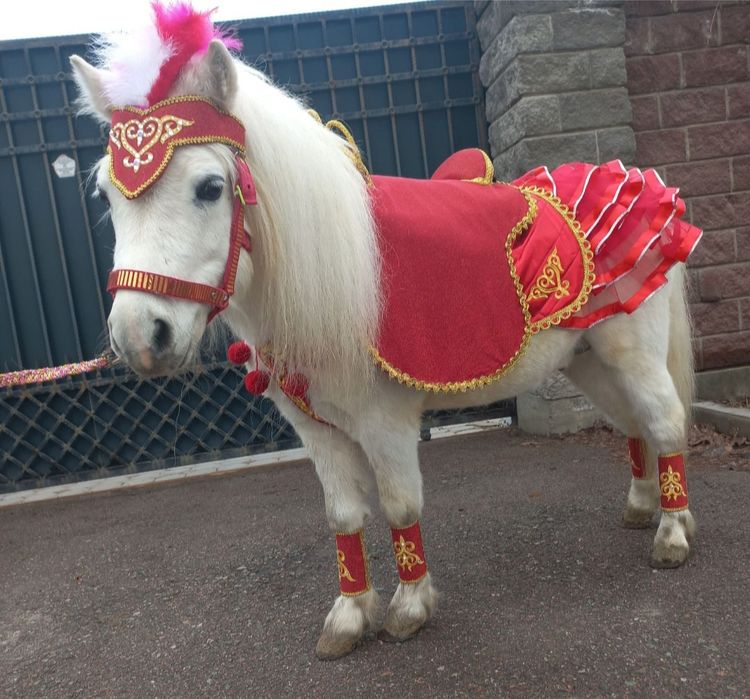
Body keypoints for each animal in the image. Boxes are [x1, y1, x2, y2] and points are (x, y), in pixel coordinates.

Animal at [70, 6, 700, 660]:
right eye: (105, 195)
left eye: (210, 188)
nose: (141, 337)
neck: (331, 280)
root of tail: (637, 182)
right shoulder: (315, 431)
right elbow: (343, 516)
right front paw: (348, 618)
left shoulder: (386, 421)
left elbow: (399, 506)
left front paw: (409, 608)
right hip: (586, 357)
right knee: (632, 424)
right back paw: (643, 507)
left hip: (632, 353)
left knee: (664, 421)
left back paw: (672, 534)